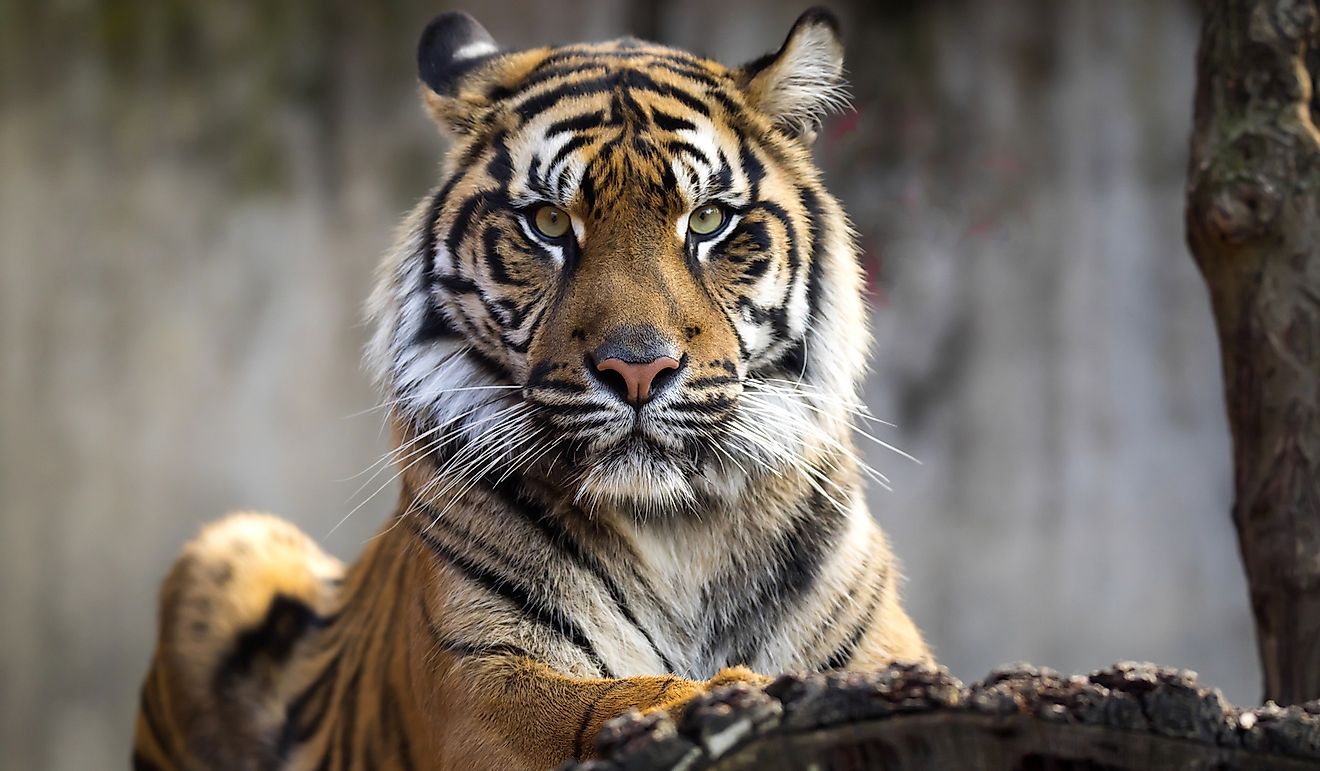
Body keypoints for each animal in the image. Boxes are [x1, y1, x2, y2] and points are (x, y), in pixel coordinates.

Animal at [133, 7, 929, 771]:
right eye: (548, 221)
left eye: (707, 220)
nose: (638, 369)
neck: (681, 537)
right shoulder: (476, 687)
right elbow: (614, 699)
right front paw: (727, 696)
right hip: (228, 545)